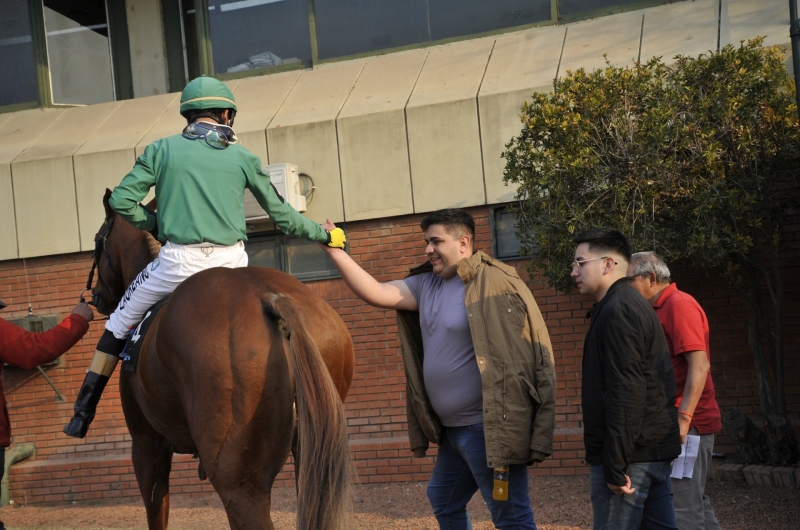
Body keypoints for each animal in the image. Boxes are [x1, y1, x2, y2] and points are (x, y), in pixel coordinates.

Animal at [87, 191, 354, 528]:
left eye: (98, 241)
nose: (97, 297)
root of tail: (270, 297)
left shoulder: (147, 446)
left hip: (237, 483)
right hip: (309, 460)